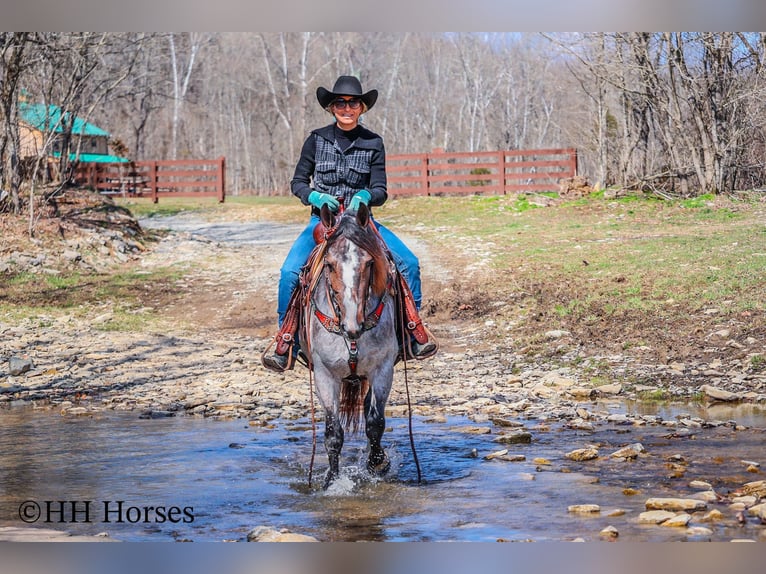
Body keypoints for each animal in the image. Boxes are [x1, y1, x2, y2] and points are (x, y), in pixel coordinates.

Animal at [301, 203, 399, 489]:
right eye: (329, 265)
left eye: (369, 263)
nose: (352, 325)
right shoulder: (325, 374)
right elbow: (333, 432)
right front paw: (332, 481)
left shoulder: (383, 369)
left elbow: (375, 422)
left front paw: (377, 464)